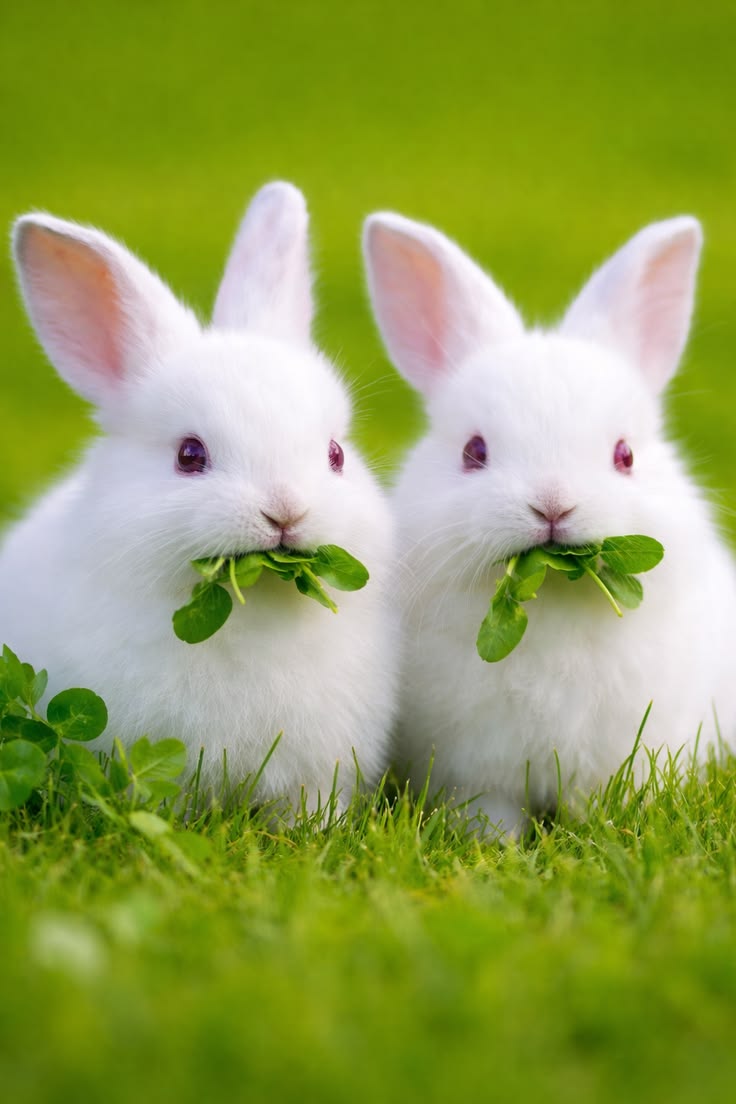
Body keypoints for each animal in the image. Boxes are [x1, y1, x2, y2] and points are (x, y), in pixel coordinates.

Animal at [363, 210, 736, 835]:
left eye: (625, 455)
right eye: (473, 452)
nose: (553, 506)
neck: (553, 600)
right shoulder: (478, 773)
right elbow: (490, 814)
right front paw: (494, 846)